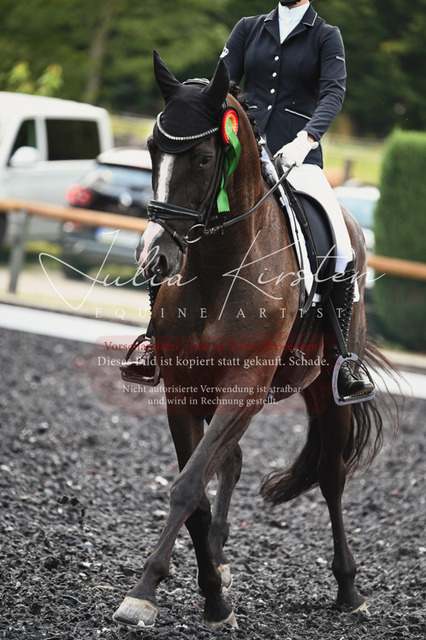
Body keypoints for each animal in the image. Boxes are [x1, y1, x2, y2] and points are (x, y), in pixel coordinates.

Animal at [113, 51, 390, 630]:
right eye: (151, 149)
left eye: (202, 159)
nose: (155, 257)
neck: (220, 265)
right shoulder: (183, 391)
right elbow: (194, 489)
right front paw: (206, 593)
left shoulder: (244, 387)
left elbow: (189, 484)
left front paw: (150, 591)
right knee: (233, 462)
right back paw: (218, 559)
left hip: (327, 390)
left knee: (331, 476)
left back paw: (349, 589)